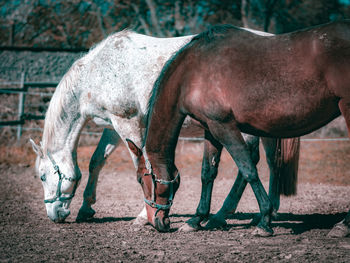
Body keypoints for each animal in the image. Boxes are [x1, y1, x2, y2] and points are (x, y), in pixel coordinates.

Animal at [30, 28, 298, 231]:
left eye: (43, 176)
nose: (54, 213)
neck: (98, 73)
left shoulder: (128, 123)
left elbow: (143, 165)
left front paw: (143, 216)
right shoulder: (113, 127)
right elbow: (97, 161)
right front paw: (87, 208)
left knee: (250, 163)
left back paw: (224, 215)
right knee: (272, 162)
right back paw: (267, 211)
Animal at [129, 21, 350, 237]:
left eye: (141, 179)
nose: (157, 222)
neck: (192, 73)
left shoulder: (224, 127)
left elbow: (248, 169)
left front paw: (264, 221)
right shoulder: (210, 130)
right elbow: (207, 172)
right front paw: (195, 220)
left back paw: (342, 226)